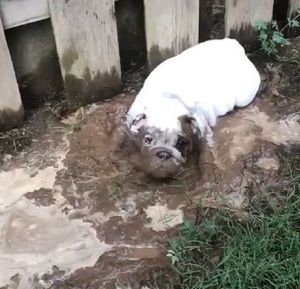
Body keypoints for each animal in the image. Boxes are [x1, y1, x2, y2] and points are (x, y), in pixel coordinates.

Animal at [122, 38, 260, 178]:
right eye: (147, 140)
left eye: (181, 143)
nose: (164, 153)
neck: (167, 103)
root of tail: (233, 43)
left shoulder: (204, 132)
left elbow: (205, 156)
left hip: (244, 97)